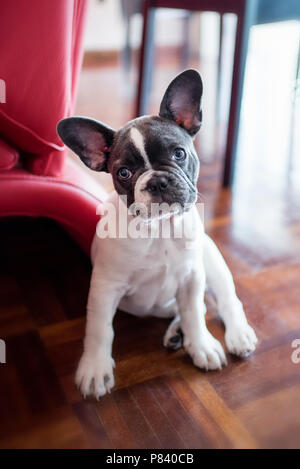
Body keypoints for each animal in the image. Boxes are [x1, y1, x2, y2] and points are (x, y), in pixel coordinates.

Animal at [57, 70, 256, 398]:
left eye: (179, 154)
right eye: (123, 173)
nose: (158, 181)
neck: (161, 229)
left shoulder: (192, 277)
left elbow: (194, 312)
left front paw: (201, 345)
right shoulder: (105, 287)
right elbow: (99, 329)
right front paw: (95, 368)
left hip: (211, 261)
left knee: (225, 300)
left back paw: (237, 334)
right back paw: (177, 333)